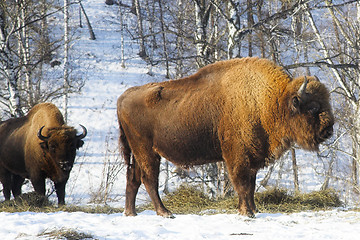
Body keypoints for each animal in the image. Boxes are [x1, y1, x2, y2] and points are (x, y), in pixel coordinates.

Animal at [116, 56, 334, 218]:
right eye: (313, 107)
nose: (329, 129)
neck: (273, 100)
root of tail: (122, 97)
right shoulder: (238, 156)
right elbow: (242, 184)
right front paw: (247, 213)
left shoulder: (252, 157)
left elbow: (251, 185)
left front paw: (253, 210)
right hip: (147, 151)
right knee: (148, 179)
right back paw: (165, 212)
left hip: (138, 152)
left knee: (133, 177)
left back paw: (131, 213)